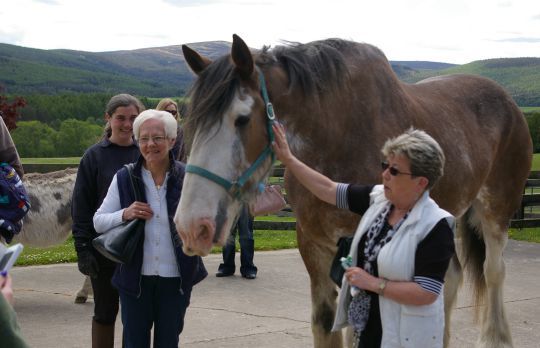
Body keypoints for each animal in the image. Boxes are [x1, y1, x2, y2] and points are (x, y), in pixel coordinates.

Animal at [174, 33, 532, 348]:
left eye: (242, 119)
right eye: (191, 122)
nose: (192, 227)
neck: (339, 133)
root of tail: (508, 103)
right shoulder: (314, 244)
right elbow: (326, 323)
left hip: (495, 212)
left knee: (493, 272)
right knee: (451, 278)